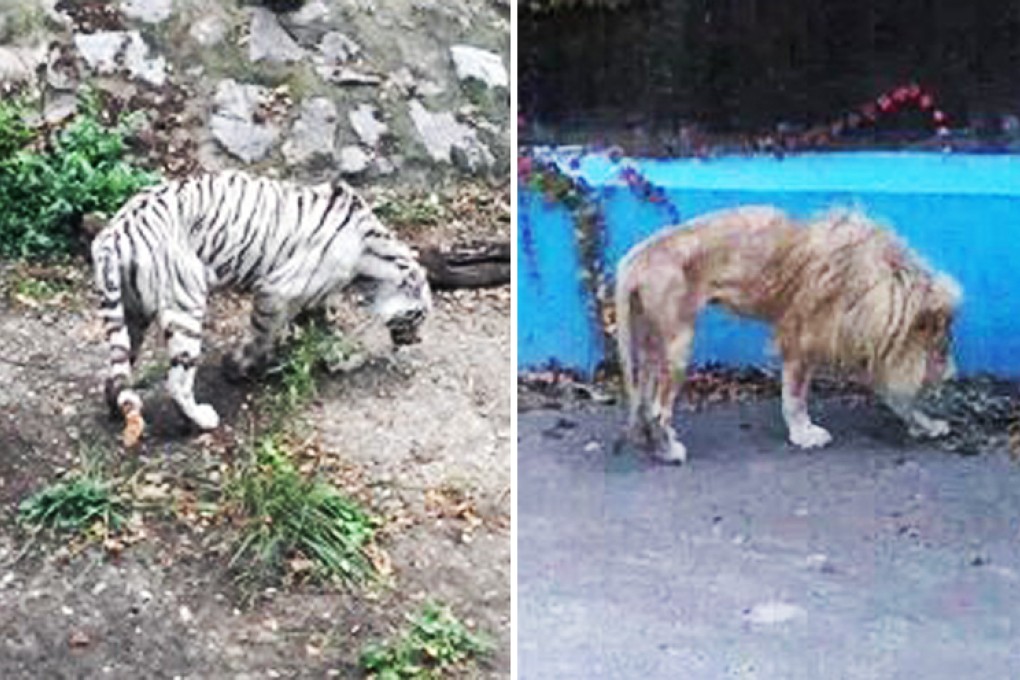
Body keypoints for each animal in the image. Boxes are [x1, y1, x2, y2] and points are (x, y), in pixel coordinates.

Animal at [88, 170, 434, 446]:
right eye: (419, 315)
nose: (417, 340)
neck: (372, 255)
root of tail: (115, 234)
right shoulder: (276, 290)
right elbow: (263, 333)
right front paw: (239, 366)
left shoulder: (314, 298)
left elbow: (325, 333)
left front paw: (343, 360)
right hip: (185, 306)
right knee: (177, 382)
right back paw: (201, 419)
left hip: (130, 313)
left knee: (116, 373)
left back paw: (116, 408)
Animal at [612, 204, 962, 464]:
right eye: (941, 347)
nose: (950, 377)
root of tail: (637, 258)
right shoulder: (800, 337)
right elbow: (794, 395)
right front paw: (804, 434)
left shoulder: (864, 345)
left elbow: (898, 398)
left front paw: (927, 425)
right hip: (678, 343)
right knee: (658, 409)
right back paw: (669, 451)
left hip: (649, 343)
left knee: (644, 400)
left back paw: (653, 443)